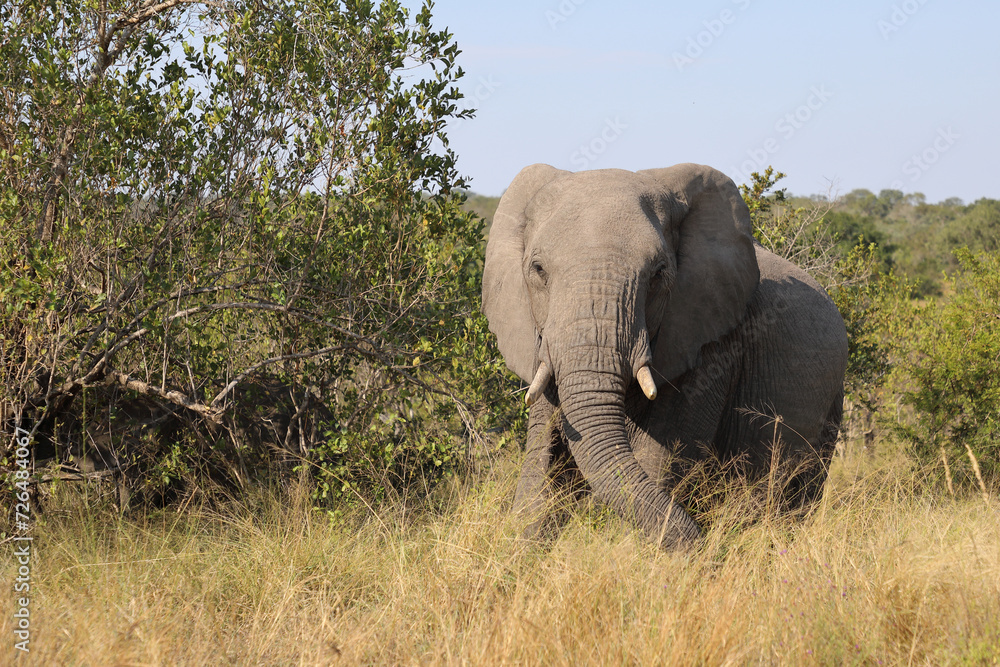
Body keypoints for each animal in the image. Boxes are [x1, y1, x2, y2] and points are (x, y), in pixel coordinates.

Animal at [480, 162, 848, 548]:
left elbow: (660, 458)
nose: (706, 548)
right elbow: (542, 459)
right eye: (538, 271)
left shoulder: (712, 345)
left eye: (658, 274)